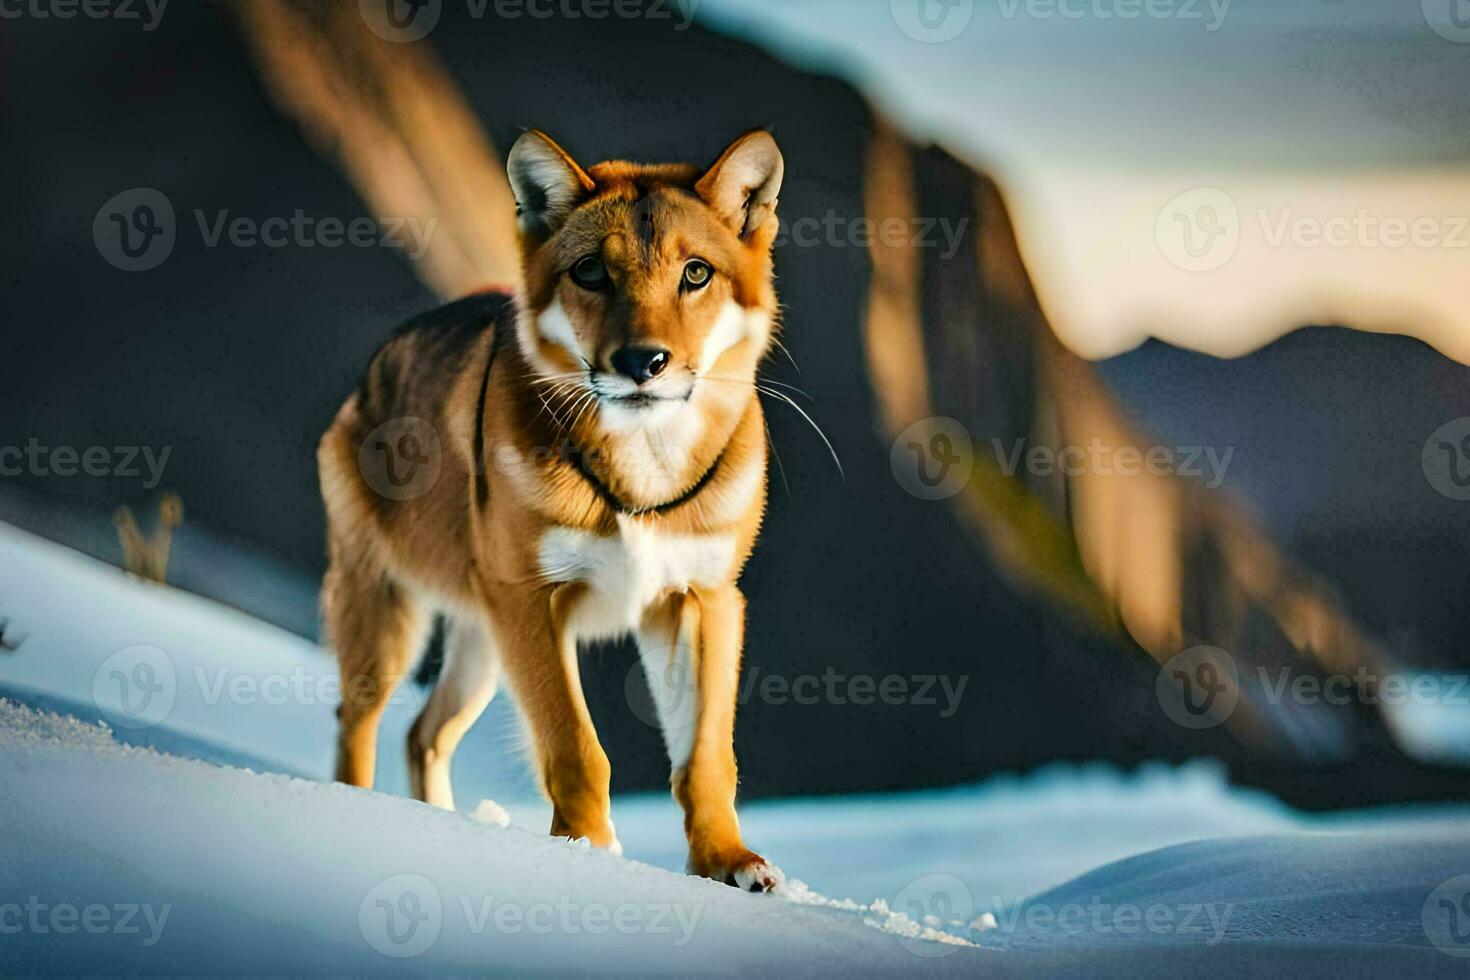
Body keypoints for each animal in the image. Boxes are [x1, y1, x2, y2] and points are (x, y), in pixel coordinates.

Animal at [317, 128, 787, 887]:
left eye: (695, 273)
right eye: (592, 272)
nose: (643, 362)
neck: (641, 475)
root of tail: (378, 365)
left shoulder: (701, 599)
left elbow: (706, 760)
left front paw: (727, 862)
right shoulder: (532, 599)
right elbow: (575, 745)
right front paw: (587, 850)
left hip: (482, 641)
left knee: (424, 733)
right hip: (388, 612)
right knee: (358, 724)